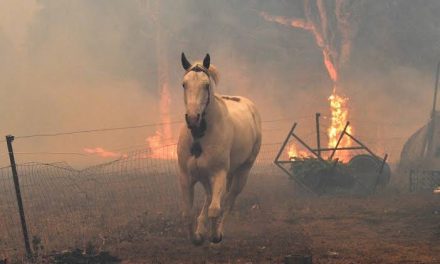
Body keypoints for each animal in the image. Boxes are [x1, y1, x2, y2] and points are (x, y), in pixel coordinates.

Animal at [177, 52, 262, 244]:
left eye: (206, 85)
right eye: (184, 84)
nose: (193, 118)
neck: (199, 138)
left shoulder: (219, 174)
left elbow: (215, 209)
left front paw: (214, 235)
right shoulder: (186, 177)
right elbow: (187, 213)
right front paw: (197, 237)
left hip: (241, 172)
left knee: (228, 201)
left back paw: (217, 231)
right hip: (207, 177)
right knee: (210, 198)